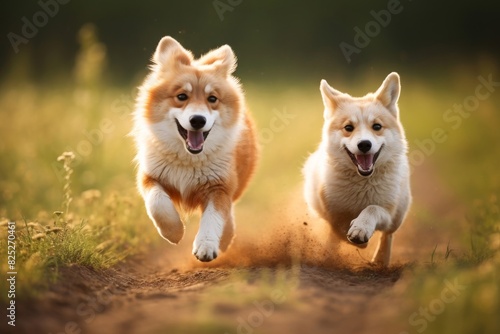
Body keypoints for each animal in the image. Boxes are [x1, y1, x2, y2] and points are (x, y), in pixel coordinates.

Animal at [133, 36, 258, 260]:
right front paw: (174, 232)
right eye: (182, 96)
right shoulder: (150, 177)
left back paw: (225, 239)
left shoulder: (219, 186)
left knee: (229, 212)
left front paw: (206, 246)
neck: (188, 158)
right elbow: (158, 204)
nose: (198, 120)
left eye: (212, 99)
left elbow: (213, 218)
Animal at [302, 72, 412, 266]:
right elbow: (338, 229)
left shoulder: (387, 213)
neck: (363, 183)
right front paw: (354, 237)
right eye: (348, 128)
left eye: (377, 126)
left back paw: (380, 261)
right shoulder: (332, 212)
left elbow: (372, 209)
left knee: (388, 236)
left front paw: (360, 230)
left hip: (398, 214)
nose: (364, 144)